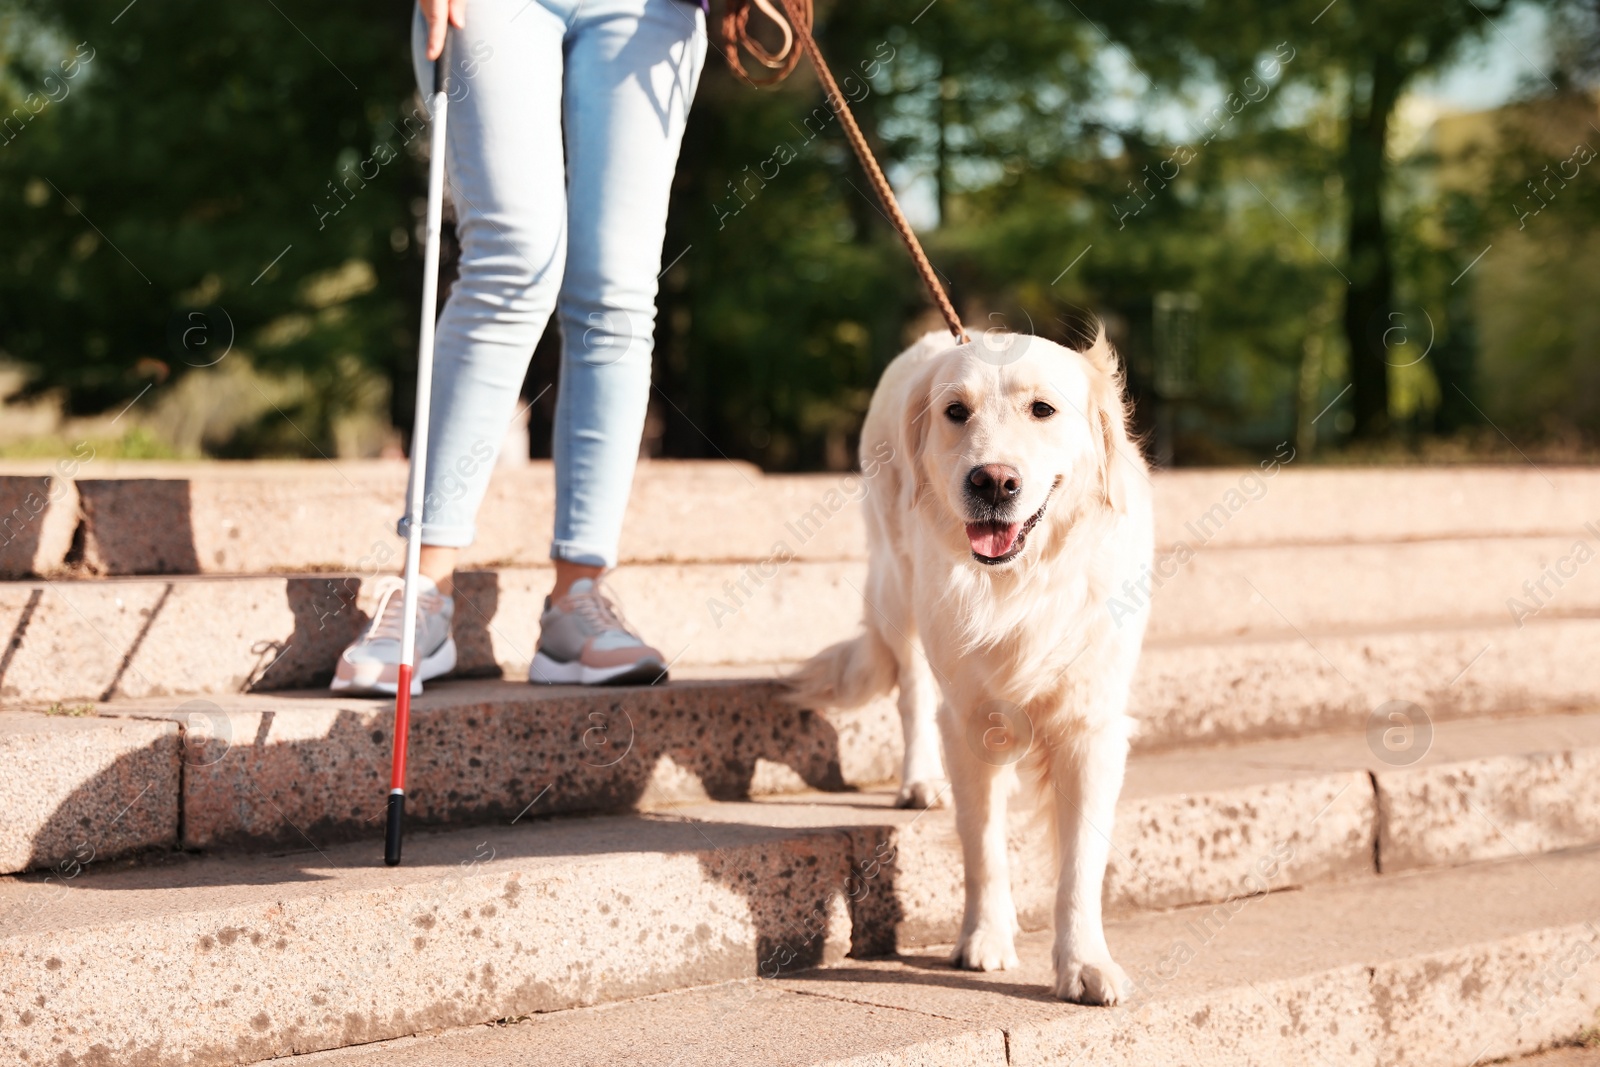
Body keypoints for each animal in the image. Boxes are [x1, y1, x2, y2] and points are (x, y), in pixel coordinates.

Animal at [787, 323, 1152, 1004]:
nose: (994, 483)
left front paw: (1084, 962)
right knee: (911, 694)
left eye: (1043, 409)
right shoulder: (970, 717)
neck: (1020, 583)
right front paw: (984, 937)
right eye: (956, 412)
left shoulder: (1091, 725)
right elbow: (982, 844)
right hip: (900, 590)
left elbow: (1080, 865)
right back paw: (918, 781)